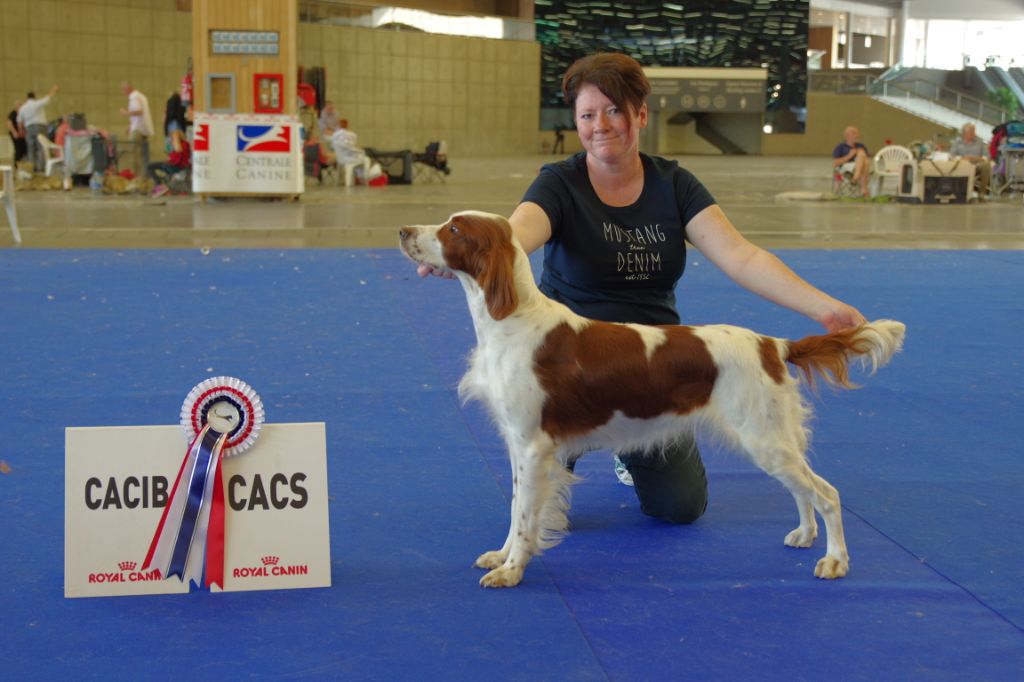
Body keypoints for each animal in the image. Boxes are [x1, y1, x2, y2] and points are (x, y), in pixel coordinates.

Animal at [399, 209, 905, 585]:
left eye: (454, 229)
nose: (403, 230)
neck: (512, 319)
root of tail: (774, 345)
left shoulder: (532, 446)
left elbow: (525, 515)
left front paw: (512, 571)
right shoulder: (518, 444)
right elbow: (515, 506)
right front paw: (500, 556)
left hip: (764, 437)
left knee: (827, 493)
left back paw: (835, 561)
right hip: (771, 438)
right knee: (803, 490)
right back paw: (803, 534)